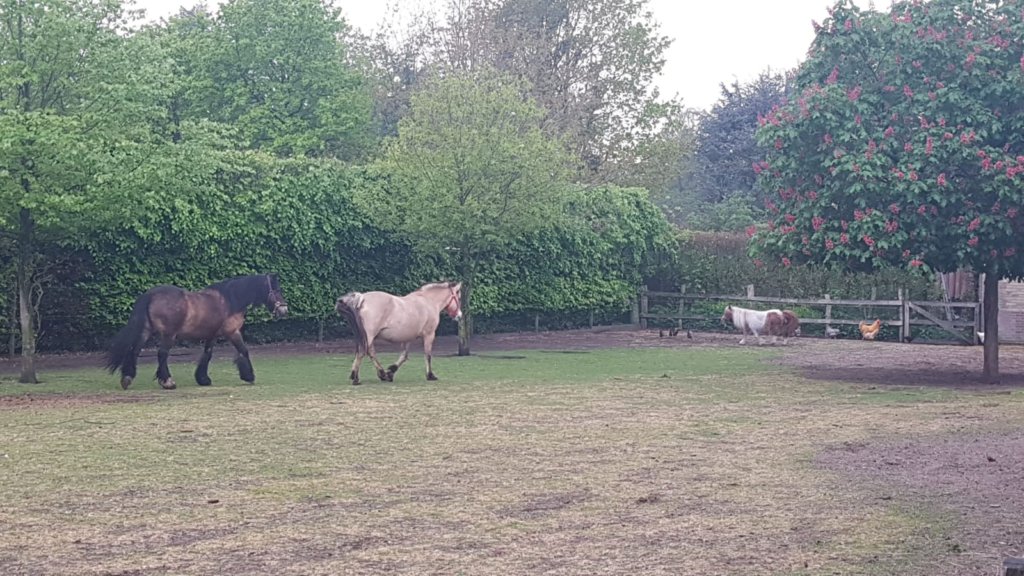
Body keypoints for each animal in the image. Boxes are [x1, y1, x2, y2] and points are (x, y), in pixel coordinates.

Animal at [105, 274, 288, 390]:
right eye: (276, 290)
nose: (284, 310)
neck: (230, 300)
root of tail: (150, 295)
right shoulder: (233, 332)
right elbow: (244, 350)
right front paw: (248, 376)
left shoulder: (212, 336)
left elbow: (207, 355)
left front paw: (203, 379)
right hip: (168, 335)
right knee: (162, 354)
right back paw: (168, 382)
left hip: (146, 331)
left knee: (135, 350)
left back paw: (127, 378)